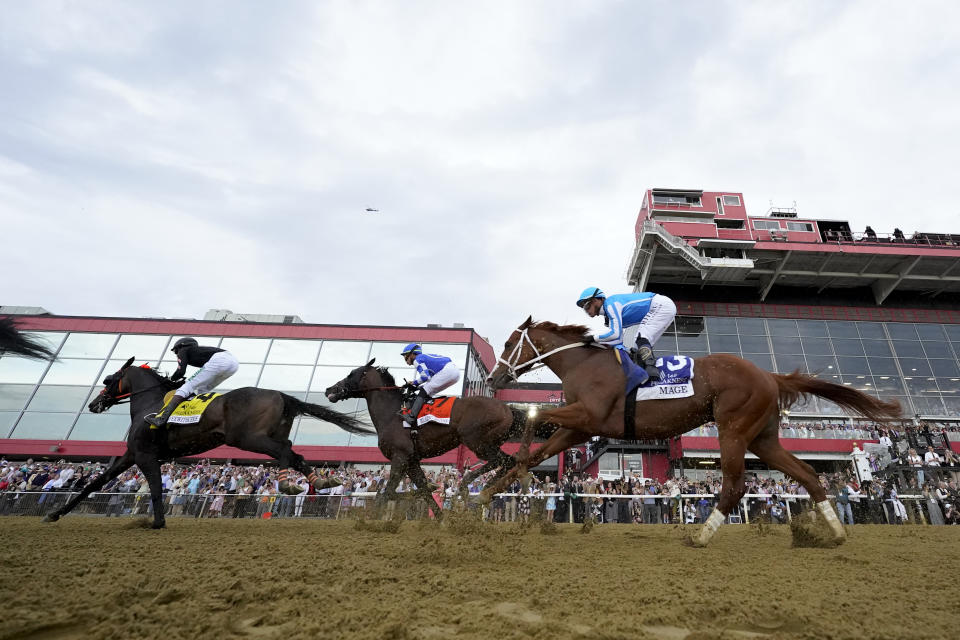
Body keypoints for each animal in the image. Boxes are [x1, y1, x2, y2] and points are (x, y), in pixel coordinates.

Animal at [45, 358, 376, 528]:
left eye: (109, 379)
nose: (94, 404)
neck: (149, 404)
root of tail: (281, 394)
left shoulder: (145, 456)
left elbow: (155, 489)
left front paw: (158, 522)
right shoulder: (130, 455)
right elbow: (94, 482)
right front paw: (55, 514)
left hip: (247, 438)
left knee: (285, 453)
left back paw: (287, 484)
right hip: (267, 435)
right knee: (294, 454)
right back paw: (319, 480)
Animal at [326, 360, 528, 510]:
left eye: (351, 373)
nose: (329, 389)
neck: (392, 413)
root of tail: (508, 408)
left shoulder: (400, 457)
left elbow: (388, 492)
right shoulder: (412, 461)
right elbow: (423, 490)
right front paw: (441, 519)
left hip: (477, 442)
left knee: (503, 460)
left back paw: (471, 484)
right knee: (507, 461)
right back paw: (485, 489)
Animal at [488, 318, 900, 544]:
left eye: (508, 343)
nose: (493, 378)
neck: (585, 364)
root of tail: (769, 375)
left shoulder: (588, 416)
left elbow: (536, 416)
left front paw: (510, 465)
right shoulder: (580, 428)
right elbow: (540, 450)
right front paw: (487, 490)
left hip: (733, 429)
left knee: (735, 486)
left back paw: (701, 536)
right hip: (763, 438)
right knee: (808, 473)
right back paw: (836, 532)